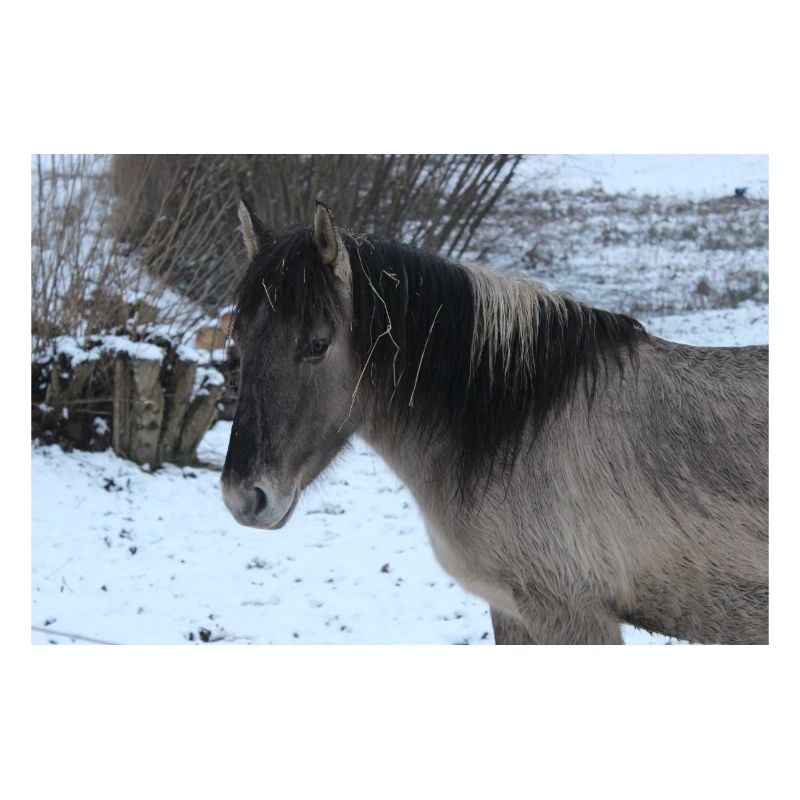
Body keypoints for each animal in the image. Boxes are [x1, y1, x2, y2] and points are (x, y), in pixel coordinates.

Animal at [221, 200, 768, 644]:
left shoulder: (574, 616)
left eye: (318, 344)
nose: (244, 497)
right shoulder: (511, 611)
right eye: (240, 340)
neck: (520, 428)